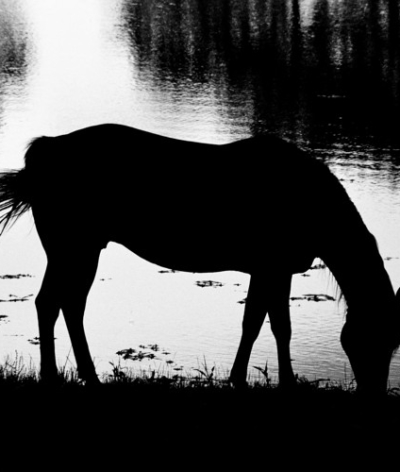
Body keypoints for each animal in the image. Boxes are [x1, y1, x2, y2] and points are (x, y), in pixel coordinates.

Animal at [0, 123, 400, 392]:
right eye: (368, 338)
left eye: (393, 342)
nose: (374, 392)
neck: (313, 206)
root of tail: (43, 152)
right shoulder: (274, 266)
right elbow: (274, 325)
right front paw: (275, 382)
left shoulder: (269, 269)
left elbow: (259, 322)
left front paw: (248, 378)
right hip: (72, 247)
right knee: (55, 303)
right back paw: (57, 376)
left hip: (76, 248)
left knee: (62, 304)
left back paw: (83, 375)